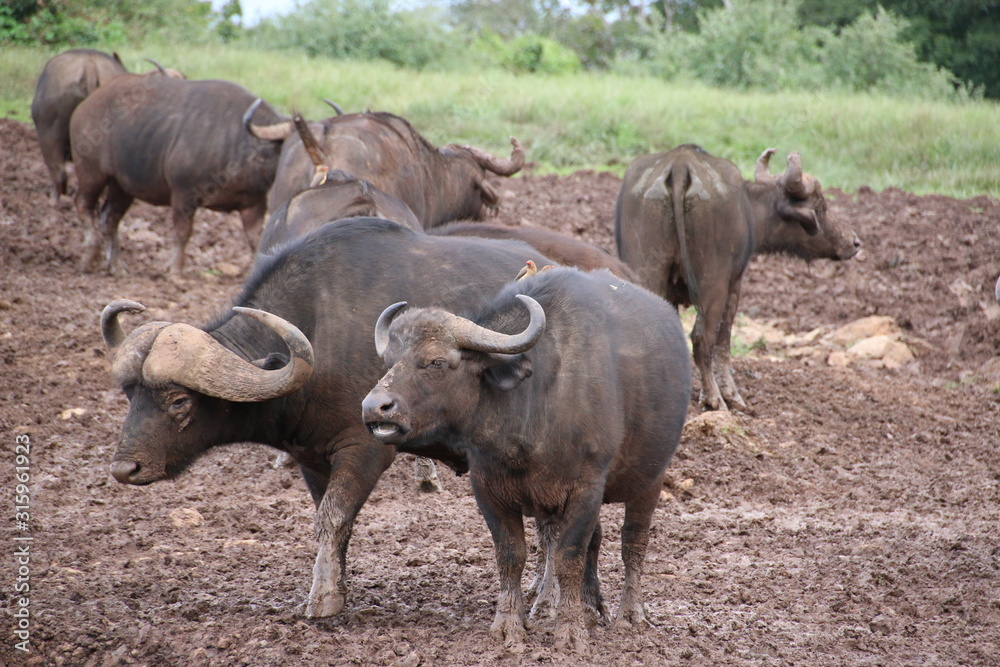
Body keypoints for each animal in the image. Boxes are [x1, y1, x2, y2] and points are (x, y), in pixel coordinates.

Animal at [69, 75, 290, 276]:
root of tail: (85, 106)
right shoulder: (184, 195)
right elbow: (183, 232)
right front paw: (175, 270)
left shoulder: (254, 204)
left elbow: (256, 240)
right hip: (91, 172)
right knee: (83, 204)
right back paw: (90, 255)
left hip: (122, 186)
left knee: (109, 217)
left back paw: (117, 266)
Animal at [101, 220, 556, 620]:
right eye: (130, 394)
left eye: (179, 401)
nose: (125, 468)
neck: (320, 331)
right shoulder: (312, 458)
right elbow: (331, 522)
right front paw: (334, 589)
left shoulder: (365, 448)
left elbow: (333, 516)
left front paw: (322, 601)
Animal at [364, 268, 692, 652]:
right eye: (389, 362)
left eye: (436, 362)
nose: (374, 407)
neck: (531, 405)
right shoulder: (489, 489)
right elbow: (512, 555)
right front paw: (510, 623)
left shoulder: (586, 488)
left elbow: (569, 556)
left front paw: (570, 630)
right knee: (587, 541)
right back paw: (585, 606)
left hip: (651, 479)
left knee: (633, 543)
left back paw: (630, 614)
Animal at [616, 146, 860, 412]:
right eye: (820, 206)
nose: (854, 242)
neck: (748, 209)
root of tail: (679, 165)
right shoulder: (734, 286)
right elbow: (724, 339)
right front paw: (730, 394)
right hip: (713, 283)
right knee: (702, 338)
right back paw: (715, 398)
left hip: (647, 271)